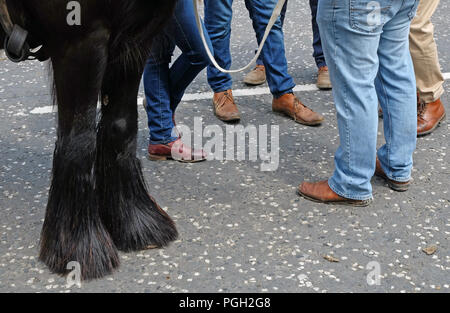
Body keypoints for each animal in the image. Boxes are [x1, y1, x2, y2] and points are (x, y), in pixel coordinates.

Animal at [0, 0, 179, 278]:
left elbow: (121, 126)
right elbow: (80, 140)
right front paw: (78, 246)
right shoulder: (80, 43)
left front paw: (136, 222)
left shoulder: (136, 39)